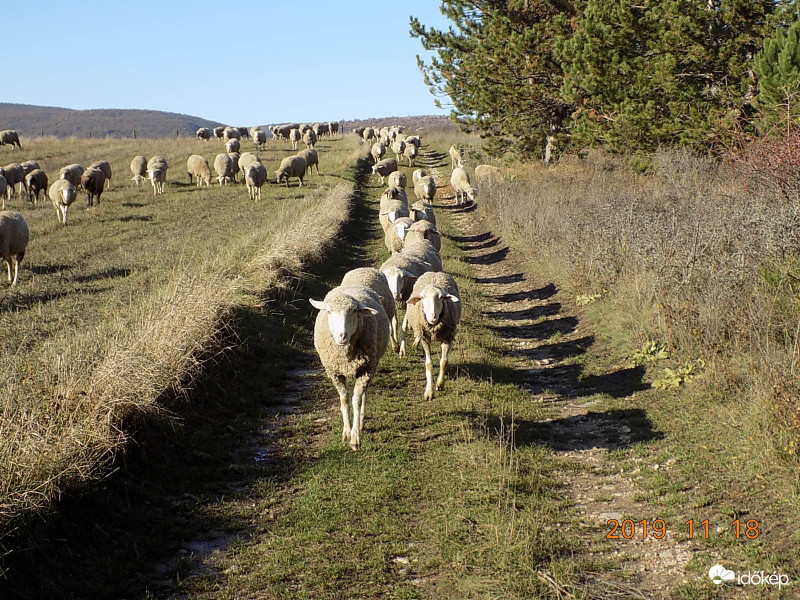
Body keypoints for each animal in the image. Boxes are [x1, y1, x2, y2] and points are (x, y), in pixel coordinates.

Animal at [310, 278, 390, 448]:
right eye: (329, 312)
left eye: (354, 311)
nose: (342, 335)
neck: (346, 356)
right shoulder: (335, 372)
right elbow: (345, 399)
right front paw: (346, 432)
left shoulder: (365, 369)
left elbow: (356, 400)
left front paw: (355, 437)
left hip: (370, 366)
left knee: (363, 394)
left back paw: (360, 422)